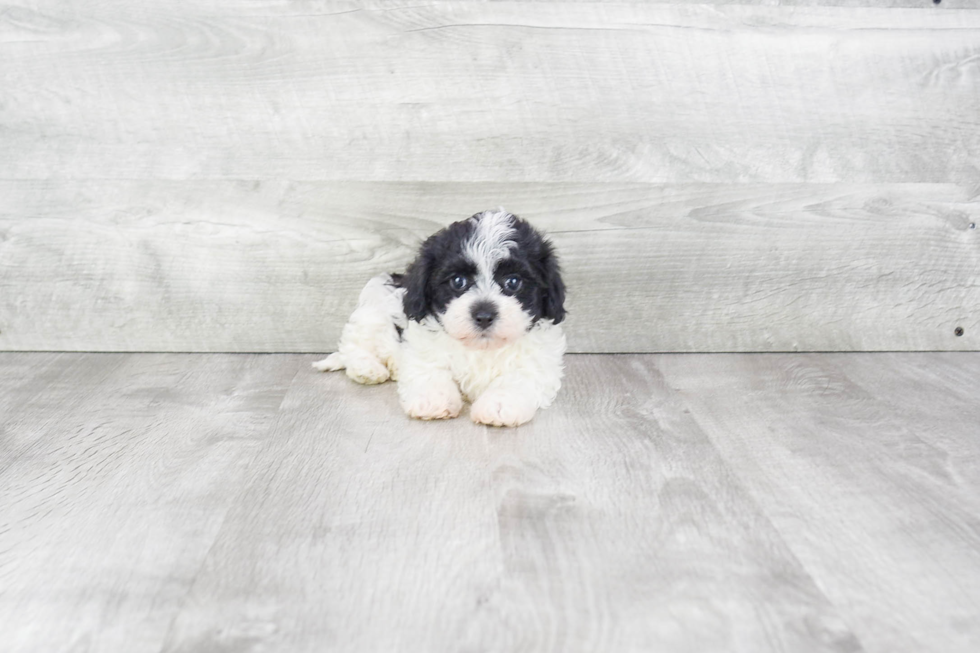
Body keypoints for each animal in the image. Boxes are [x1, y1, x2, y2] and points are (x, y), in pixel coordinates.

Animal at [314, 206, 568, 426]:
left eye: (513, 282)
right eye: (458, 281)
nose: (484, 315)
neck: (481, 348)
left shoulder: (538, 362)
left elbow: (518, 378)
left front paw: (499, 405)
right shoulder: (423, 346)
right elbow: (431, 371)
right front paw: (433, 401)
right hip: (373, 310)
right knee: (355, 346)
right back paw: (368, 369)